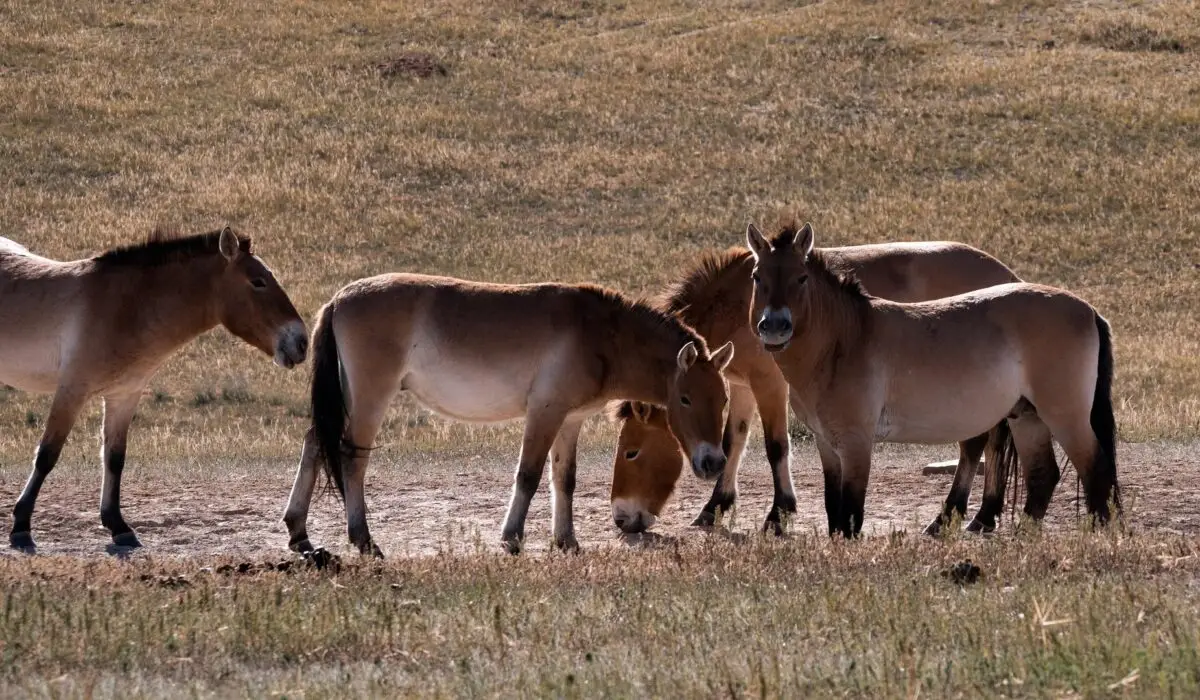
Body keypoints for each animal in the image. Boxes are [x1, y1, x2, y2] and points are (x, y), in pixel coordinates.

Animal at [3, 227, 308, 553]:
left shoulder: (124, 396)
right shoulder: (72, 391)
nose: (301, 342)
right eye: (258, 282)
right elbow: (47, 455)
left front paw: (118, 526)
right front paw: (21, 526)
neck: (126, 308)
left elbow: (114, 458)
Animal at [281, 273, 734, 557]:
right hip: (370, 398)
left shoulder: (570, 420)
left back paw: (298, 531)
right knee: (351, 458)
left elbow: (564, 480)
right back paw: (364, 540)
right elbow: (529, 475)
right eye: (687, 399)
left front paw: (566, 541)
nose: (714, 462)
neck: (601, 334)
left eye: (724, 400)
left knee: (314, 443)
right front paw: (512, 538)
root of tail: (339, 300)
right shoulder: (545, 412)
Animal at [609, 237, 1025, 536]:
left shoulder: (770, 386)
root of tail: (1010, 277)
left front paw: (779, 514)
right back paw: (984, 515)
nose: (622, 519)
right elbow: (732, 443)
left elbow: (776, 447)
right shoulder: (739, 386)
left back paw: (953, 516)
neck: (738, 303)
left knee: (978, 445)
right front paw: (715, 507)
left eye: (632, 451)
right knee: (992, 443)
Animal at [747, 221, 1118, 537]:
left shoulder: (856, 444)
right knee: (1043, 476)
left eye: (801, 277)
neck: (846, 341)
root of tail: (1089, 310)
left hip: (1065, 417)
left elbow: (851, 514)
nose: (775, 327)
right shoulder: (826, 444)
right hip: (1027, 417)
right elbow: (833, 510)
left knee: (1094, 468)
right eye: (756, 276)